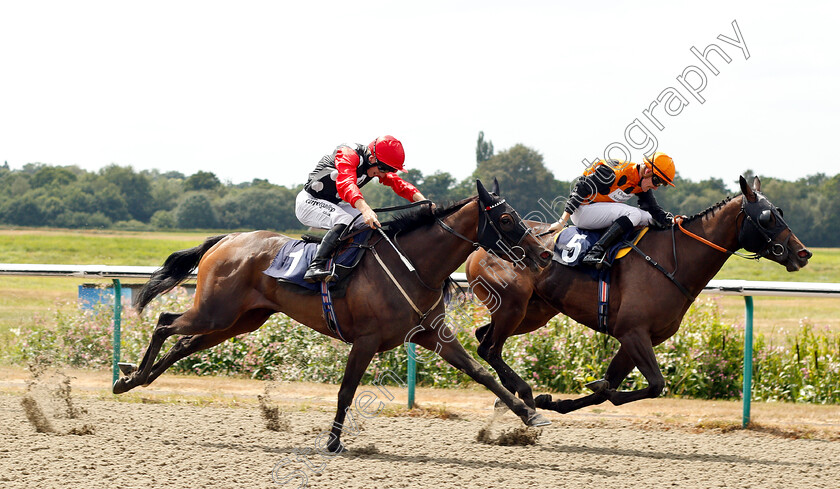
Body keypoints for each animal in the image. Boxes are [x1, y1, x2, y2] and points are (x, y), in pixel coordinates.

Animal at [115, 181, 556, 452]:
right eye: (505, 219)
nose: (543, 253)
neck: (412, 264)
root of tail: (227, 239)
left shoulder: (433, 334)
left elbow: (481, 373)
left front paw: (529, 414)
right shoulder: (365, 341)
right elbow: (346, 391)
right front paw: (332, 442)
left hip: (237, 320)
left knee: (183, 343)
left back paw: (136, 378)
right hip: (214, 311)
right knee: (165, 322)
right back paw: (130, 375)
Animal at [466, 175, 812, 412]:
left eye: (780, 211)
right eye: (768, 217)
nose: (803, 253)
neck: (673, 260)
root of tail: (480, 248)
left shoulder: (640, 337)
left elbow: (609, 388)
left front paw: (559, 400)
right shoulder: (632, 332)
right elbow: (653, 384)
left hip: (534, 312)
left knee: (484, 338)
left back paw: (512, 395)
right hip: (513, 306)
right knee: (490, 348)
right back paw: (518, 393)